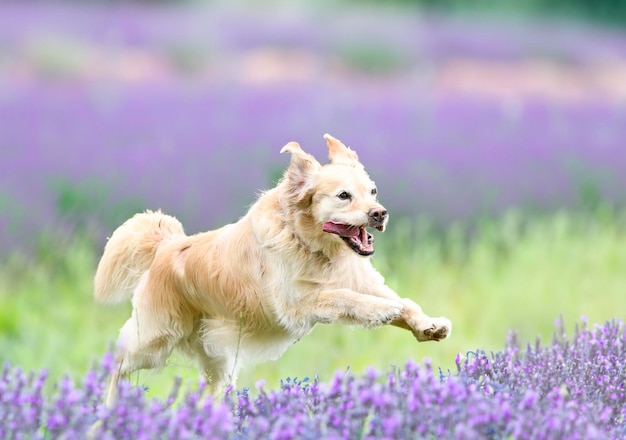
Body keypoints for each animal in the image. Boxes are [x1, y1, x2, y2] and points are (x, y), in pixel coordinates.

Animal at [94, 134, 448, 406]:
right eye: (343, 196)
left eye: (372, 191)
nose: (379, 213)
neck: (313, 246)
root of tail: (167, 246)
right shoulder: (297, 306)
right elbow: (347, 299)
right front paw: (380, 311)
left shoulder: (362, 280)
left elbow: (404, 303)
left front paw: (428, 325)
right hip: (156, 339)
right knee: (117, 363)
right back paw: (107, 411)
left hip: (217, 360)